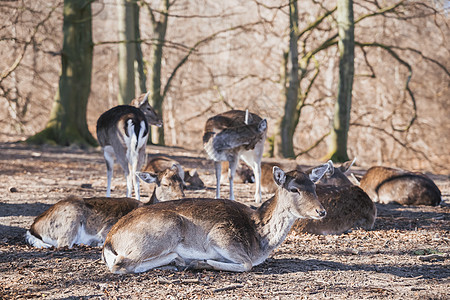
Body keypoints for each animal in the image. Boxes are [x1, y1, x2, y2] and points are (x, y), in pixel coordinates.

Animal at [25, 169, 184, 248]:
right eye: (165, 184)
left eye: (183, 184)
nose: (181, 197)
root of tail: (33, 227)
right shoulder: (107, 227)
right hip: (69, 220)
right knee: (64, 244)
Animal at [101, 164, 326, 274]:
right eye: (294, 189)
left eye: (314, 186)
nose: (321, 211)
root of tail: (109, 241)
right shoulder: (221, 235)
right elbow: (247, 265)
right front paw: (202, 262)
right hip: (167, 227)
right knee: (121, 265)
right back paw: (184, 260)